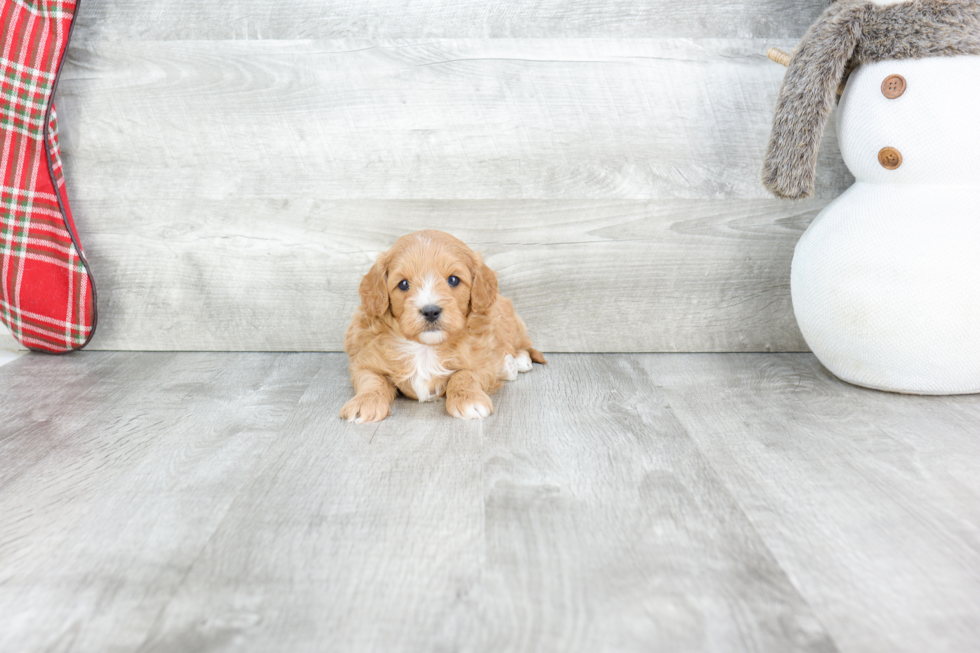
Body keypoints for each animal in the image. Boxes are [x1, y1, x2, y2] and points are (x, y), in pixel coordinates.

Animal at [342, 229, 544, 422]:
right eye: (403, 284)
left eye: (453, 280)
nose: (430, 311)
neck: (425, 347)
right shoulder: (364, 361)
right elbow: (371, 380)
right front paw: (365, 402)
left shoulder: (480, 361)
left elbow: (464, 375)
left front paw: (469, 399)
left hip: (509, 321)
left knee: (521, 343)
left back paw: (515, 362)